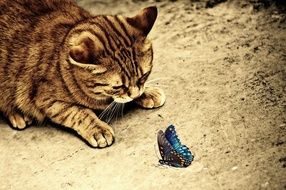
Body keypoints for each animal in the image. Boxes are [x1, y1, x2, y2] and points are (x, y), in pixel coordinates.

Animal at [0, 0, 165, 148]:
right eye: (118, 87)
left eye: (144, 76)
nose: (136, 94)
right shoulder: (47, 100)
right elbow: (79, 112)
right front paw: (97, 129)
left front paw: (147, 93)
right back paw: (18, 114)